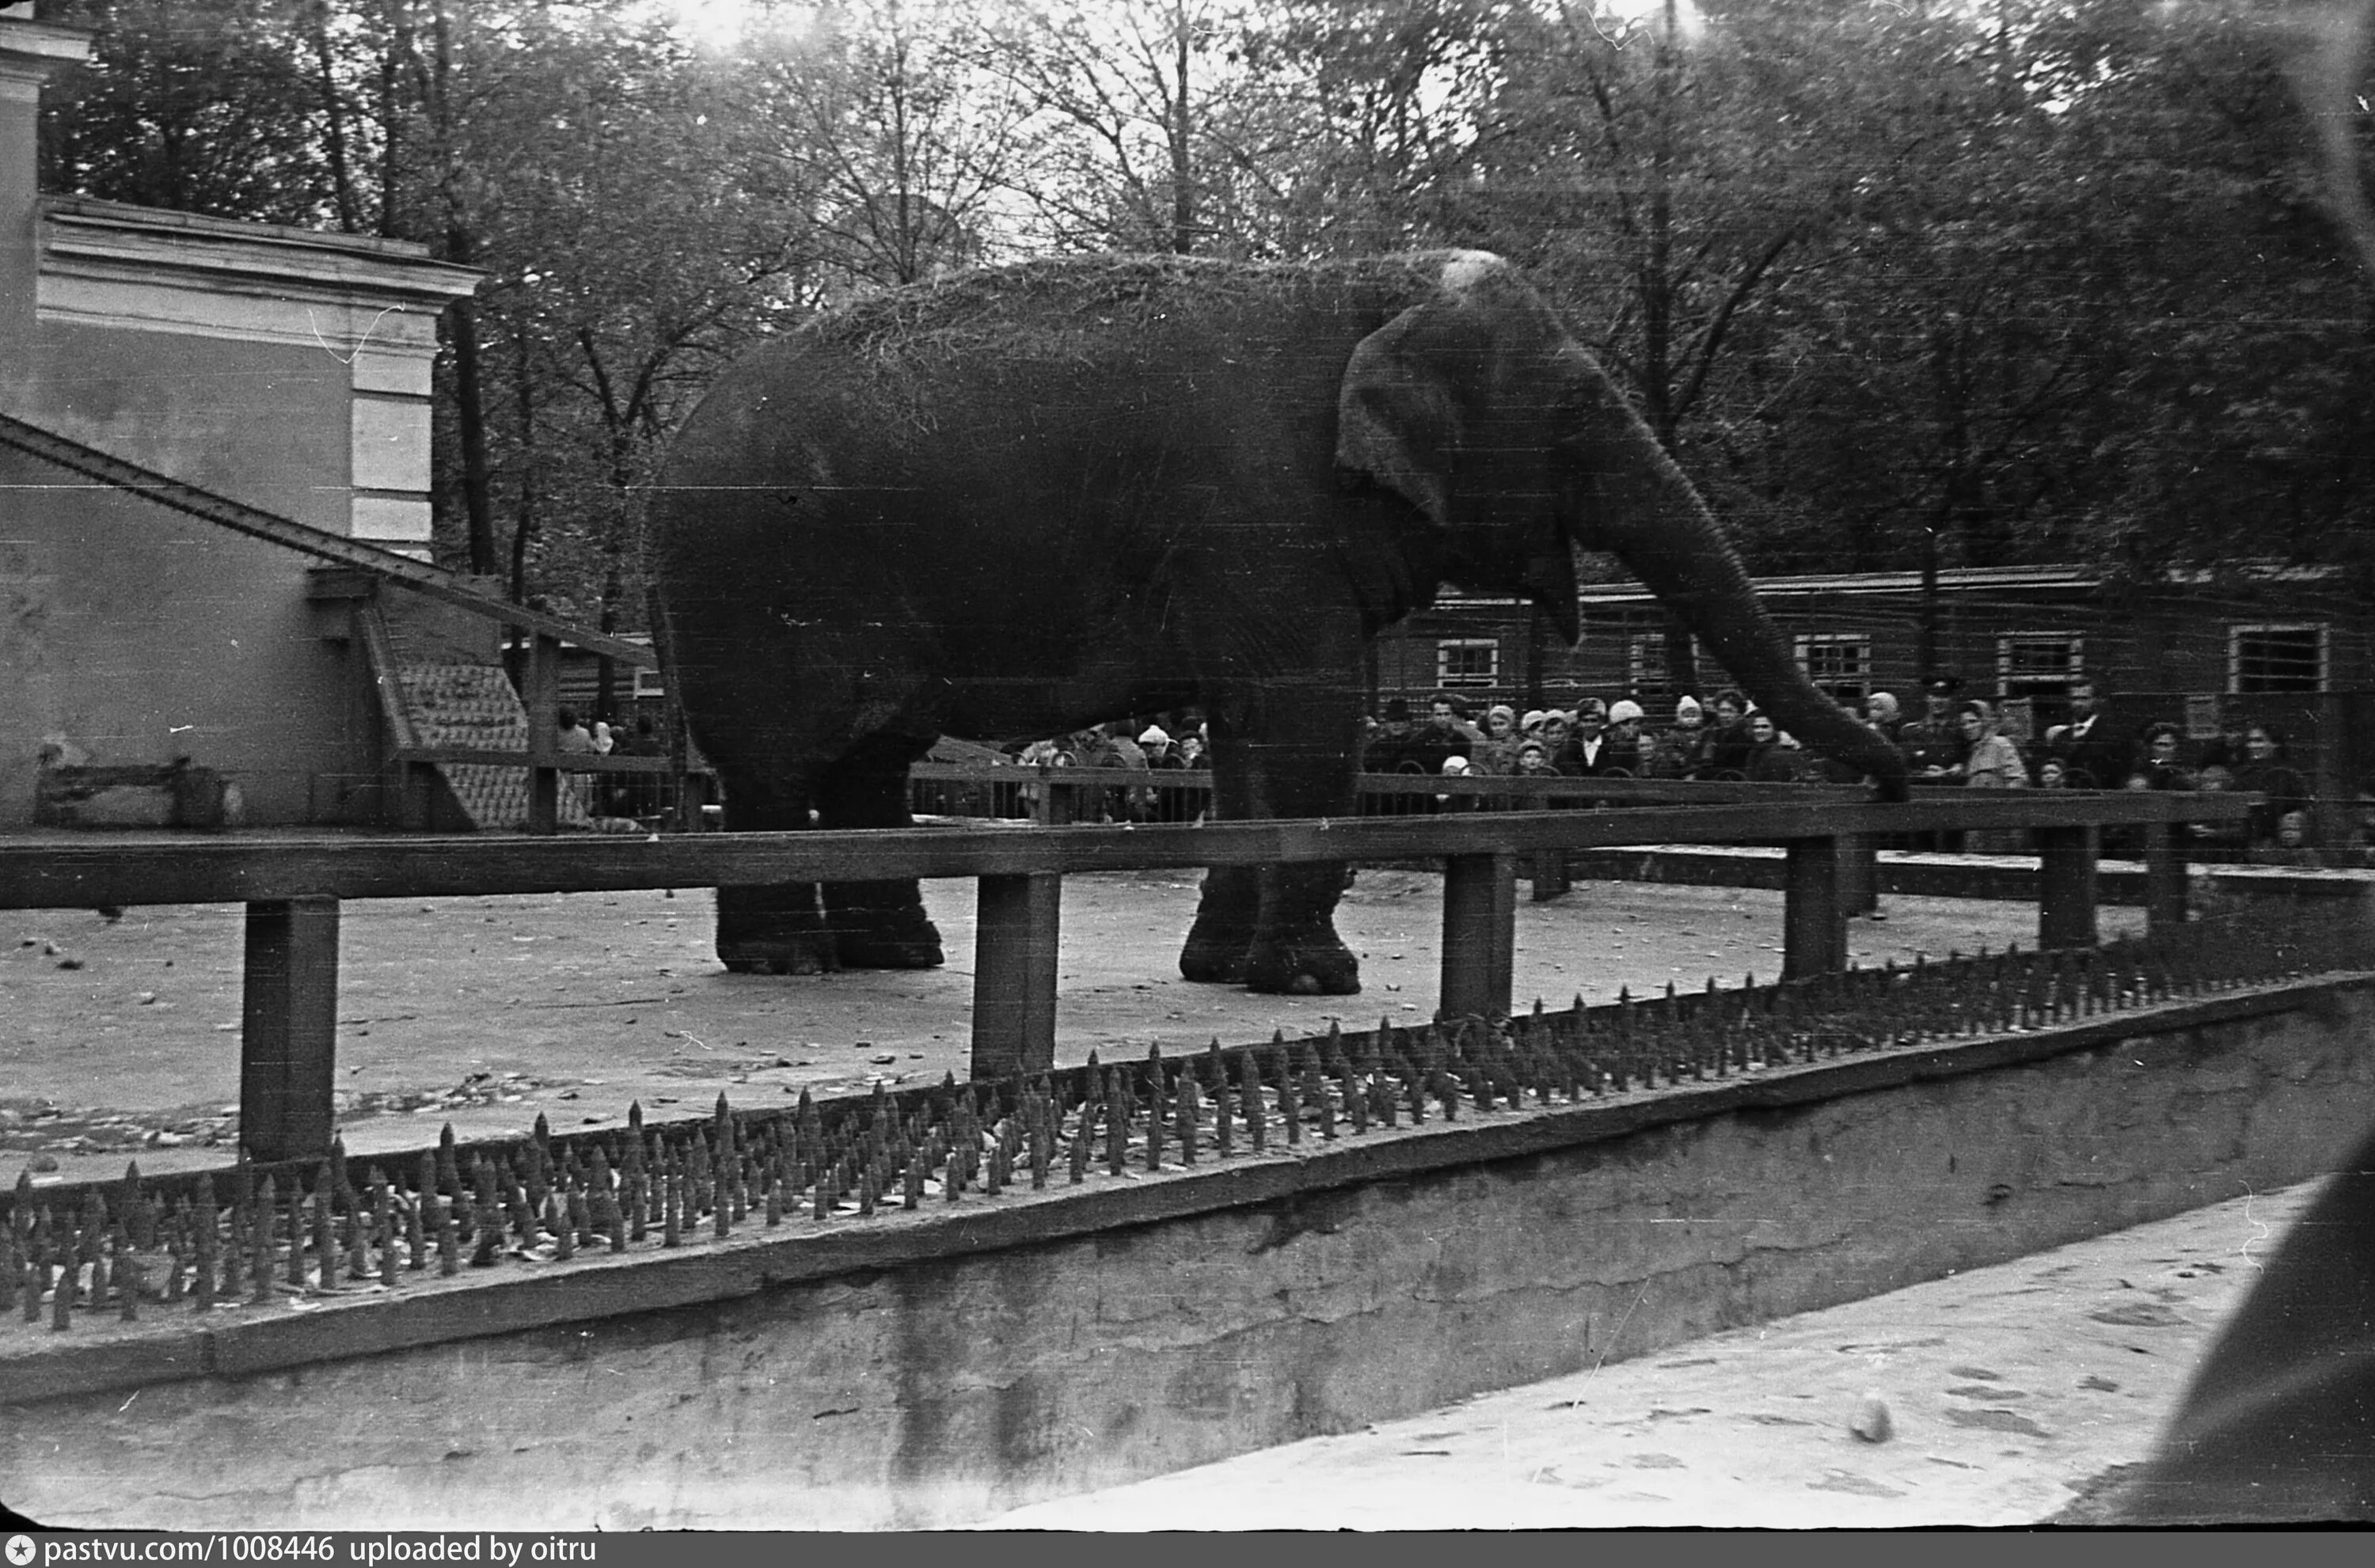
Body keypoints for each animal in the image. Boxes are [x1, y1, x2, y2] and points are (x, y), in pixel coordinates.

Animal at [651, 254, 1910, 993]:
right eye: (1579, 411)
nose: (1887, 787)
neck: (1362, 275)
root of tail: (668, 448)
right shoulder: (1256, 511)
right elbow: (1309, 720)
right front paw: (1317, 981)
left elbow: (1251, 738)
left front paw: (1223, 972)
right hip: (748, 587)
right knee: (777, 766)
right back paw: (785, 962)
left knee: (871, 760)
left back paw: (895, 955)